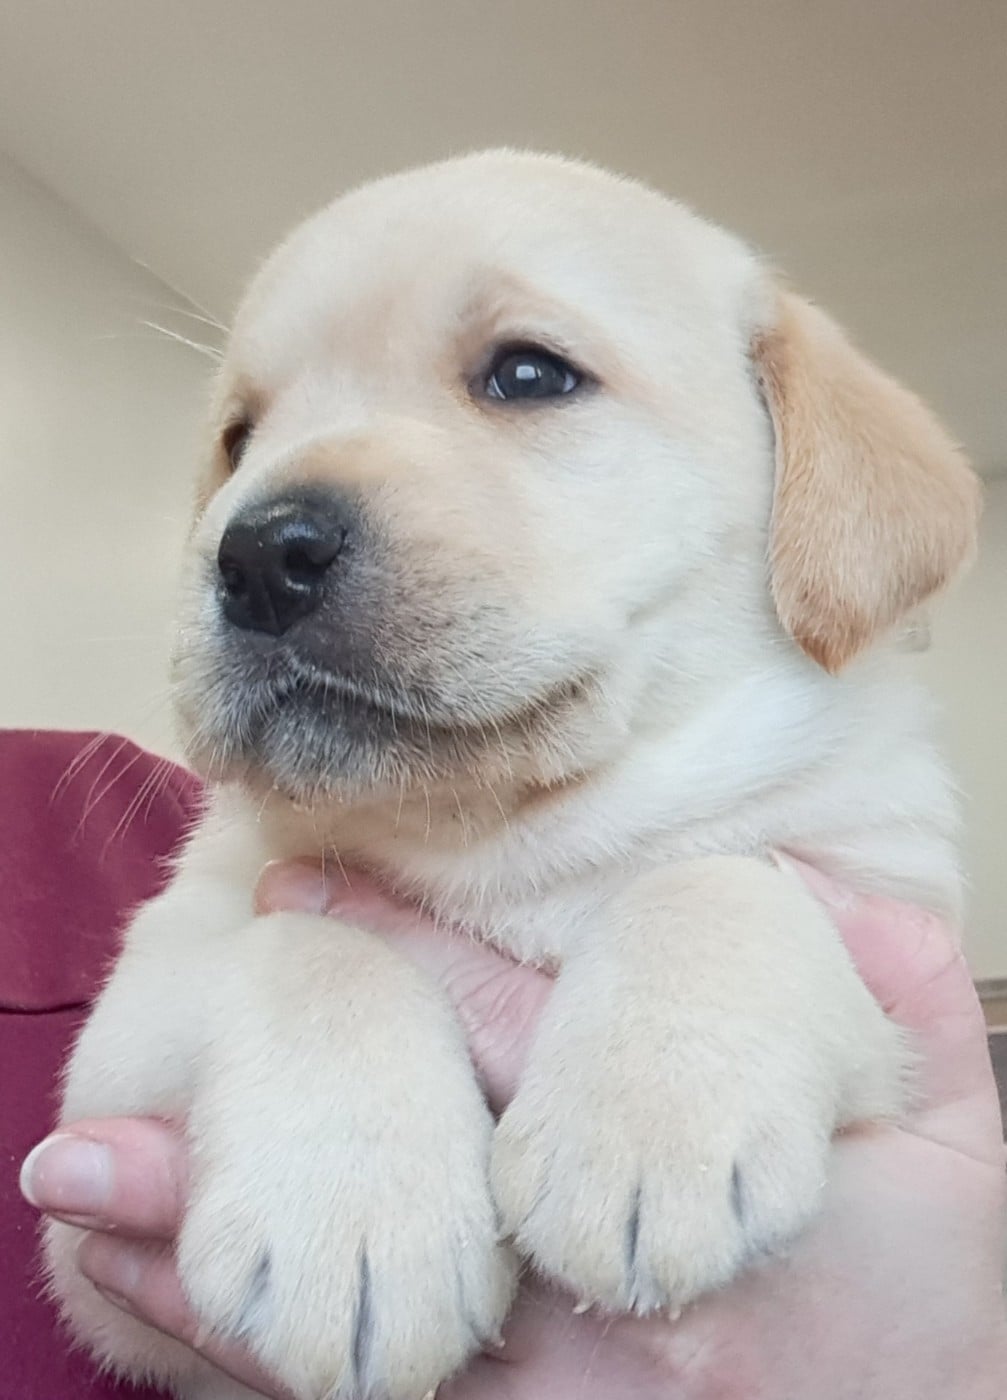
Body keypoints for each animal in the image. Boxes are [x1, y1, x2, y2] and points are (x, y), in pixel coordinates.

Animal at [45, 150, 980, 1400]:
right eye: (238, 438)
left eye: (528, 374)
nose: (255, 553)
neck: (503, 835)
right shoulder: (98, 1142)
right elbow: (308, 942)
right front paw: (350, 1215)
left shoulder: (894, 968)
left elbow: (717, 875)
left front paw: (645, 1122)